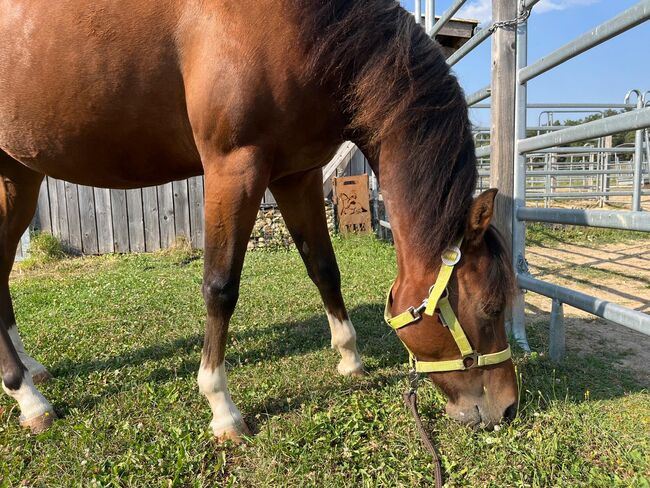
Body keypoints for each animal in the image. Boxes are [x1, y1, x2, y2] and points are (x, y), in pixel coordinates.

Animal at [0, 0, 516, 434]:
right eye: (491, 308)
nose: (508, 407)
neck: (305, 26)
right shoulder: (234, 168)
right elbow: (220, 287)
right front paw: (221, 407)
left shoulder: (297, 175)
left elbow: (324, 268)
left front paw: (349, 359)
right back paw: (29, 398)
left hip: (19, 178)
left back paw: (31, 371)